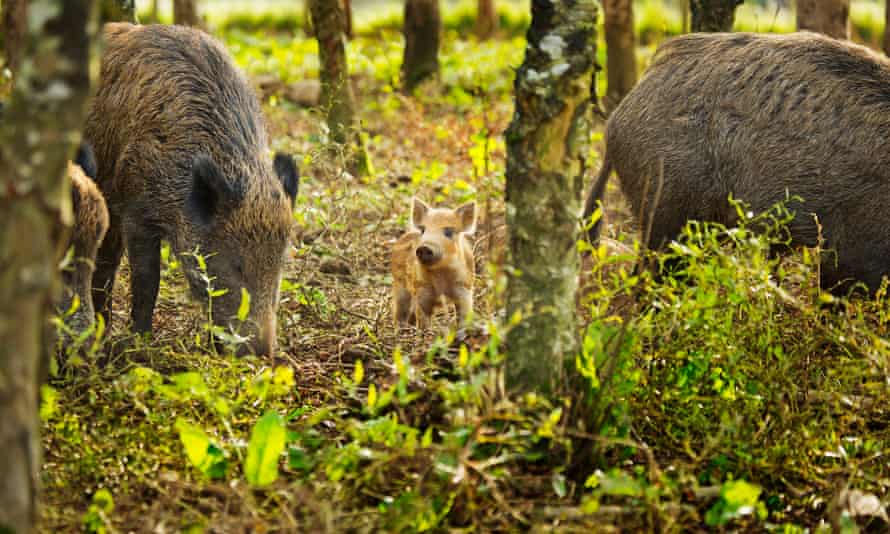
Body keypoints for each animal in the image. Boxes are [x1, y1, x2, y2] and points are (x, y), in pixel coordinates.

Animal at [84, 26, 298, 360]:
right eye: (237, 264)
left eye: (278, 265)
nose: (264, 352)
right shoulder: (136, 211)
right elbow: (147, 280)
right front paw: (140, 344)